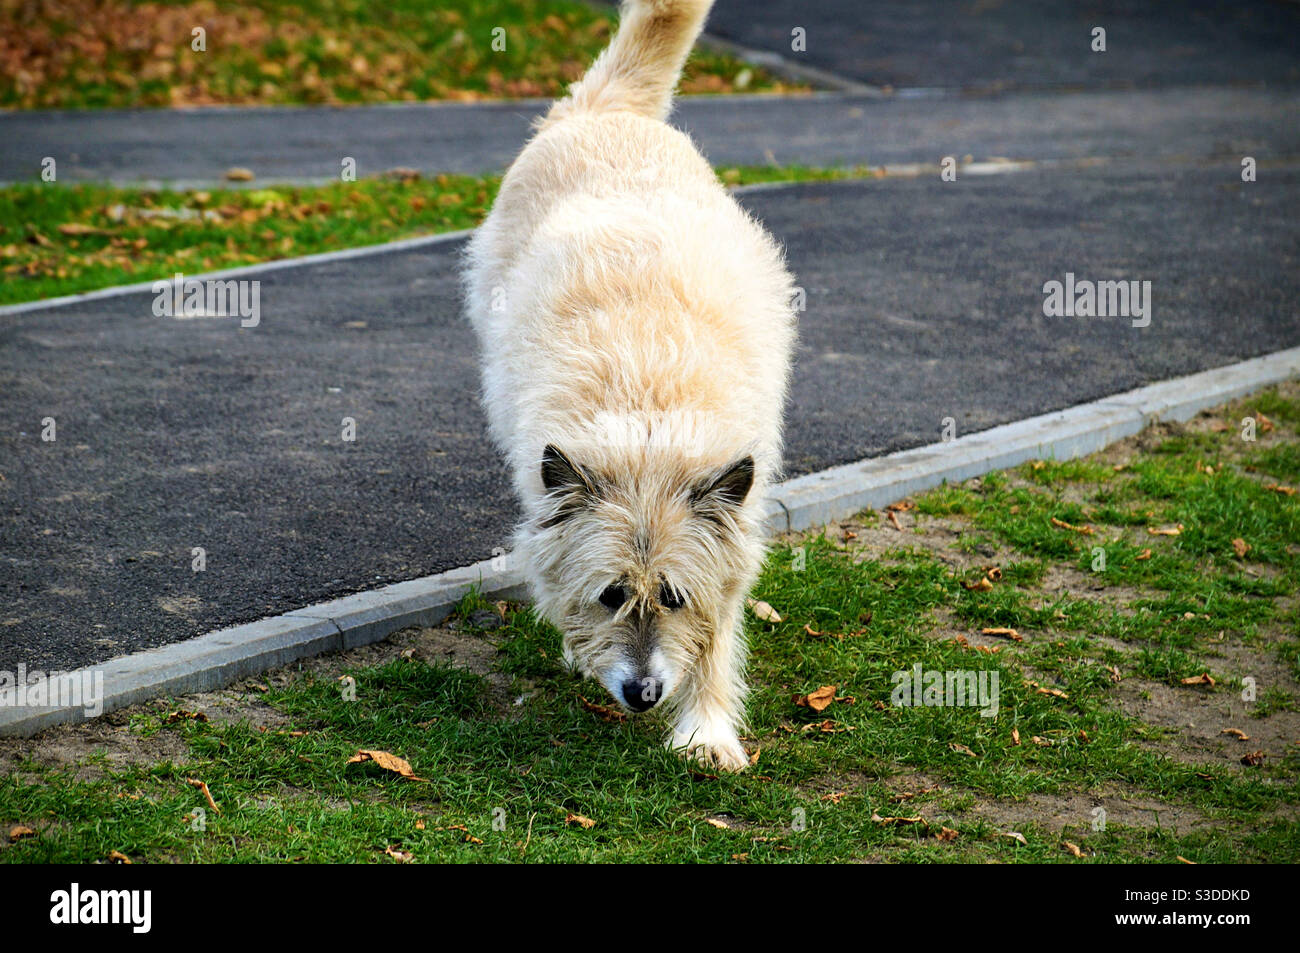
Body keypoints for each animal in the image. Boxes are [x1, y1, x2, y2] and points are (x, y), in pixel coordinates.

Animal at [462, 0, 795, 764]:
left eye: (672, 597)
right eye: (611, 595)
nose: (641, 694)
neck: (647, 424)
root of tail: (603, 109)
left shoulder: (732, 530)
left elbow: (721, 626)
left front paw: (706, 726)